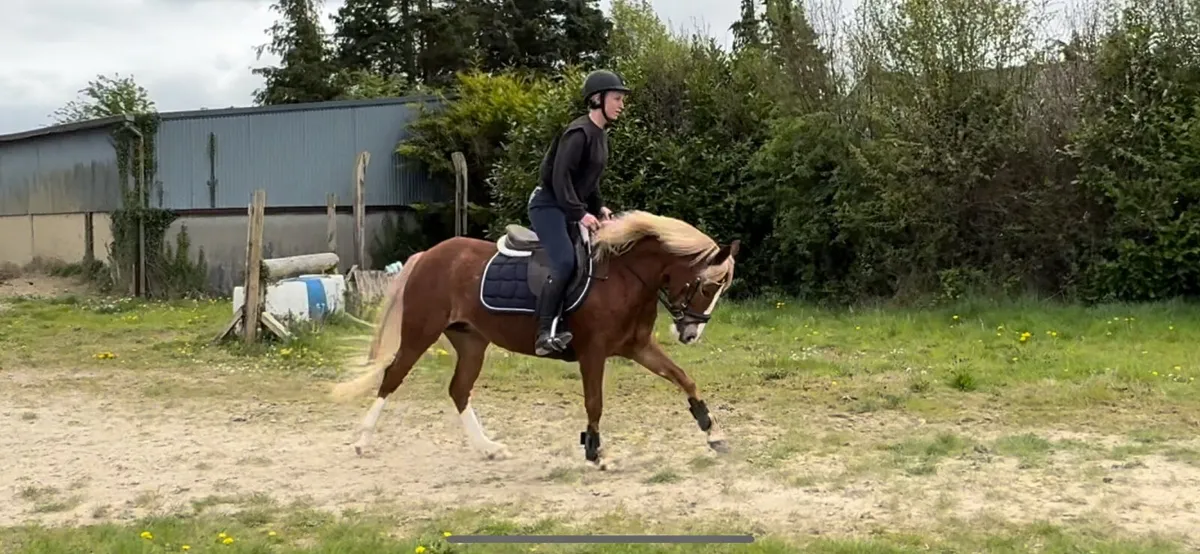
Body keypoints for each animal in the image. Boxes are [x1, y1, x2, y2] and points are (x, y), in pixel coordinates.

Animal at [329, 210, 740, 469]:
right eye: (707, 286)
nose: (690, 334)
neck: (625, 274)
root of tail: (429, 254)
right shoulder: (593, 352)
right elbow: (595, 403)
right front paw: (596, 453)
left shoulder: (638, 347)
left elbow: (684, 379)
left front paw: (714, 433)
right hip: (419, 334)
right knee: (392, 377)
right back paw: (362, 441)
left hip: (472, 342)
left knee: (459, 390)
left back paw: (489, 449)